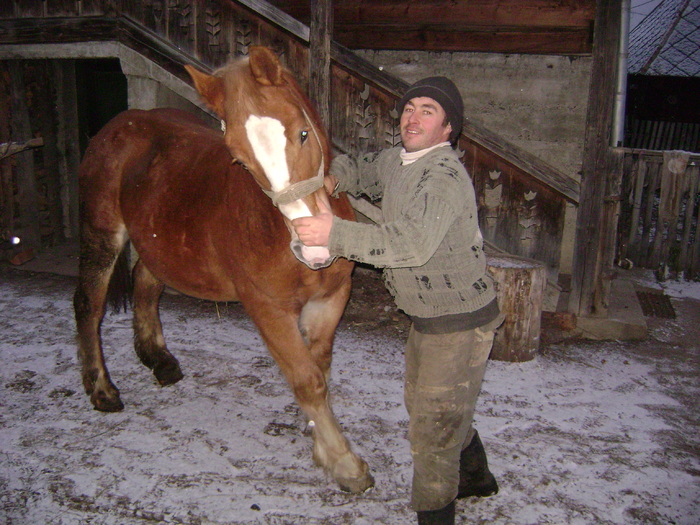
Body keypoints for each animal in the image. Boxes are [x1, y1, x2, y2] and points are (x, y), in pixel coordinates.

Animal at [74, 47, 374, 494]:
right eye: (240, 159)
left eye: (303, 133)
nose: (314, 246)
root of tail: (114, 126)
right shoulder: (268, 310)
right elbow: (307, 380)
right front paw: (344, 463)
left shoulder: (330, 300)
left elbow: (319, 370)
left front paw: (322, 447)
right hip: (102, 234)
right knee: (89, 306)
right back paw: (102, 390)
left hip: (159, 240)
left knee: (146, 283)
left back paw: (158, 359)